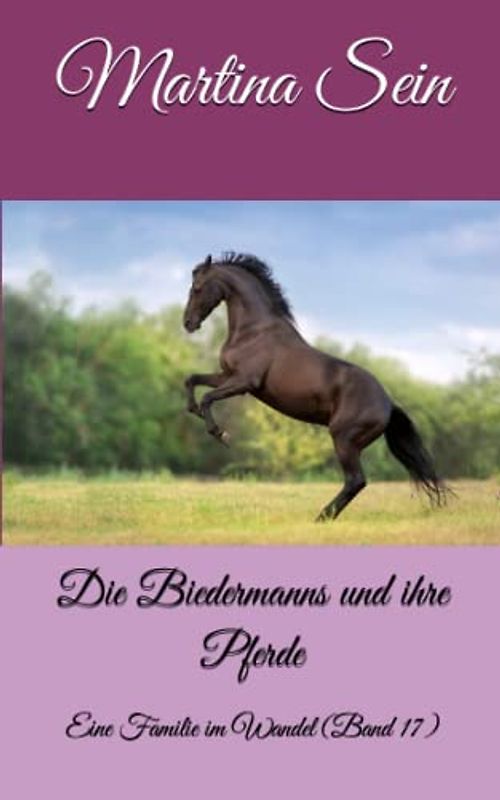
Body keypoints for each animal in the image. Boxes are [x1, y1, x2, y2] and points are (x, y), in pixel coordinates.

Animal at [183, 252, 446, 521]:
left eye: (197, 288)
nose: (188, 323)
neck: (254, 332)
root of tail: (388, 404)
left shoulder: (244, 381)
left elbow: (207, 398)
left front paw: (220, 434)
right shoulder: (227, 375)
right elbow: (191, 380)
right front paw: (194, 411)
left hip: (344, 439)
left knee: (355, 480)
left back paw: (322, 517)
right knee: (355, 482)